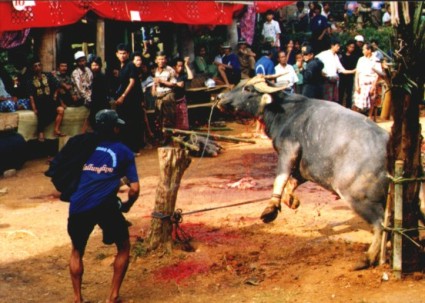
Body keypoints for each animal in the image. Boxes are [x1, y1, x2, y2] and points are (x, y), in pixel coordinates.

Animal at [217, 76, 390, 270]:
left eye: (248, 88)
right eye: (240, 84)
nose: (220, 97)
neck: (286, 112)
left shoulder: (288, 150)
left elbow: (280, 178)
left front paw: (270, 209)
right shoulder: (305, 169)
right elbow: (290, 183)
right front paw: (292, 201)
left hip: (359, 198)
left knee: (380, 224)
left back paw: (368, 258)